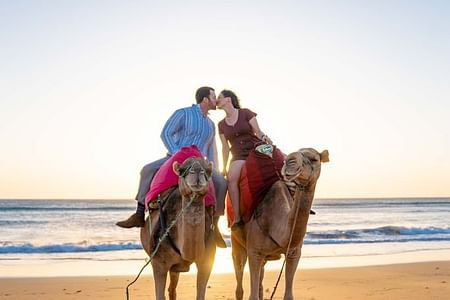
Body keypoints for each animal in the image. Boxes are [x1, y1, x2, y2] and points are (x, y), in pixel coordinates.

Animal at [142, 157, 217, 300]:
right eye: (182, 170)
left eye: (208, 171)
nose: (197, 171)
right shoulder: (158, 262)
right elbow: (159, 296)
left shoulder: (207, 260)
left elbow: (200, 295)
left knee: (172, 288)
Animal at [230, 148, 328, 300]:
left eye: (314, 159)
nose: (290, 161)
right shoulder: (254, 251)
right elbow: (252, 295)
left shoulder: (294, 252)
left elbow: (288, 295)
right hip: (237, 242)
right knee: (239, 278)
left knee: (260, 282)